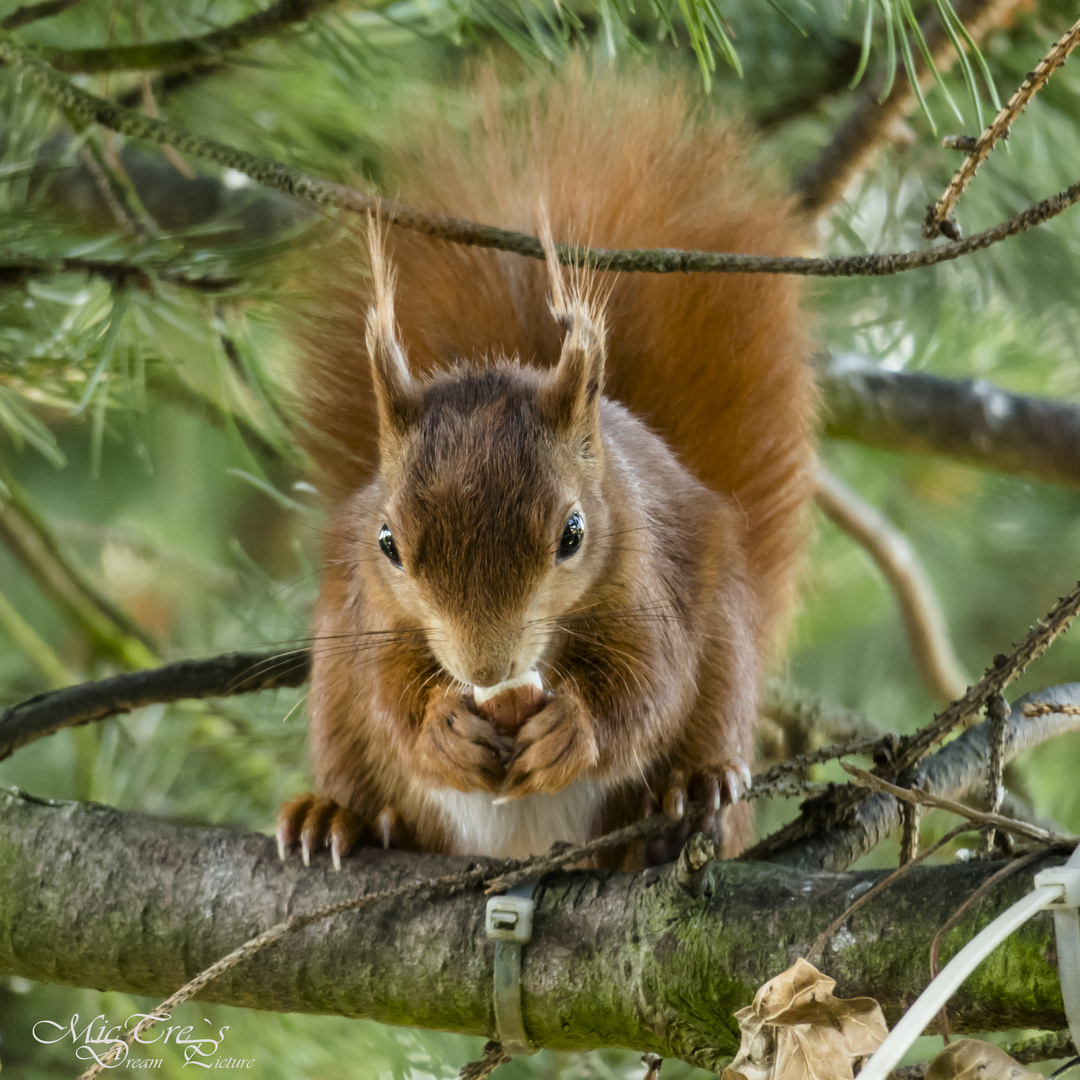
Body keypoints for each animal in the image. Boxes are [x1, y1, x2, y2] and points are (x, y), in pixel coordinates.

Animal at [278, 65, 816, 868]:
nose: (485, 671)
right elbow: (389, 696)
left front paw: (574, 730)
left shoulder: (648, 584)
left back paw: (691, 800)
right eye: (387, 543)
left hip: (724, 649)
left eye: (573, 534)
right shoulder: (370, 610)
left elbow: (649, 685)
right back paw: (337, 815)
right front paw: (441, 727)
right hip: (333, 699)